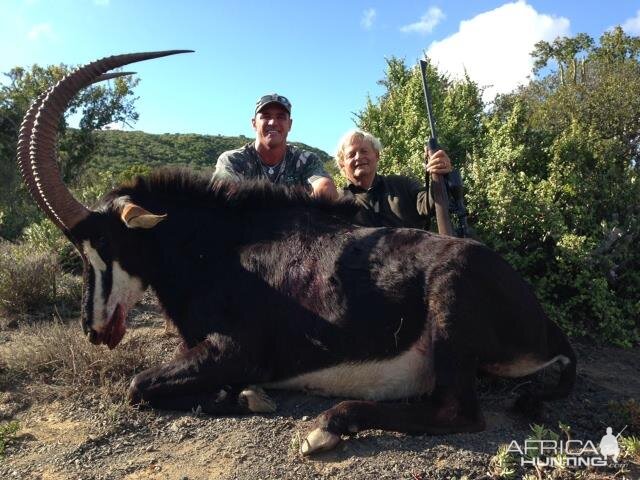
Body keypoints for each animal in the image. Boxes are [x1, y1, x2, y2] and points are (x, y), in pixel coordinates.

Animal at [18, 51, 576, 454]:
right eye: (78, 249)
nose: (93, 330)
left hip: (449, 314)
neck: (216, 249)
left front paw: (247, 395)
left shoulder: (239, 349)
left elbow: (138, 384)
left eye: (106, 242)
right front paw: (242, 394)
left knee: (458, 413)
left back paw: (328, 425)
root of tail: (547, 325)